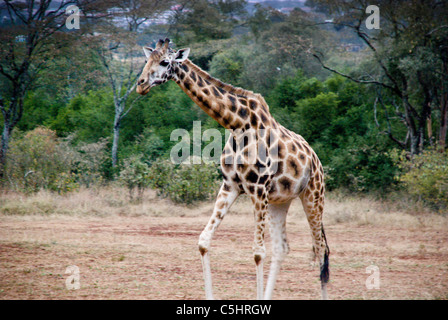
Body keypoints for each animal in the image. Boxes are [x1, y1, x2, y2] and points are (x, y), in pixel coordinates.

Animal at [136, 38, 328, 302]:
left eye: (165, 61)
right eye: (147, 60)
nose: (141, 85)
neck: (236, 124)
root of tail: (316, 160)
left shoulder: (257, 189)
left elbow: (258, 252)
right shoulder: (230, 186)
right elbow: (203, 241)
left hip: (313, 196)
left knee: (321, 249)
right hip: (280, 201)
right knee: (282, 248)